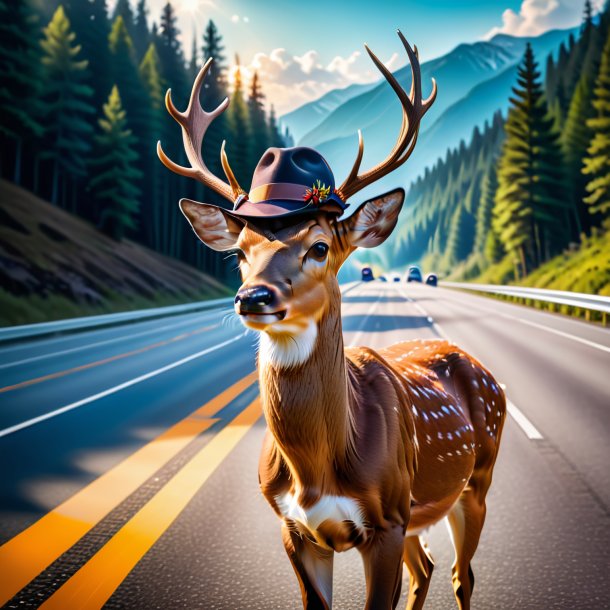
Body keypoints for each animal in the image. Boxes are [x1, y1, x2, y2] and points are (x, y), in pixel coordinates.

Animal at [157, 29, 504, 608]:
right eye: (240, 252)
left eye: (319, 246)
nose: (253, 296)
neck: (316, 469)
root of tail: (483, 369)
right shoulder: (294, 529)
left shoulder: (384, 522)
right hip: (418, 516)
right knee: (427, 569)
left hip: (477, 478)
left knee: (462, 574)